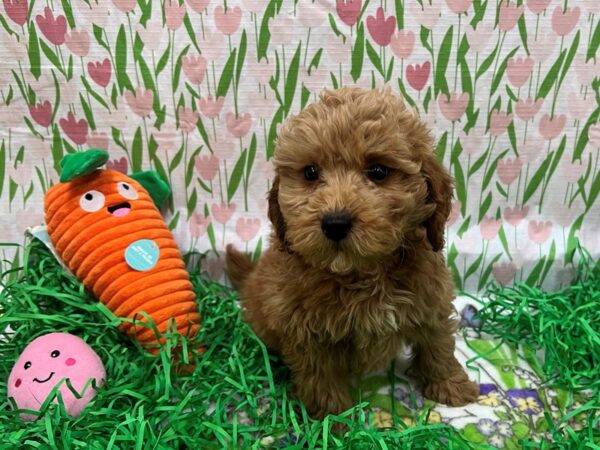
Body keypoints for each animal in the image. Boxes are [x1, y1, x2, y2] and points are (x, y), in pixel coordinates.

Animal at [225, 87, 478, 418]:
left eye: (378, 171)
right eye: (310, 172)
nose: (335, 223)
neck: (361, 274)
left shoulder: (431, 297)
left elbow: (438, 344)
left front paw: (452, 387)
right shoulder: (305, 332)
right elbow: (320, 379)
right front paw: (334, 421)